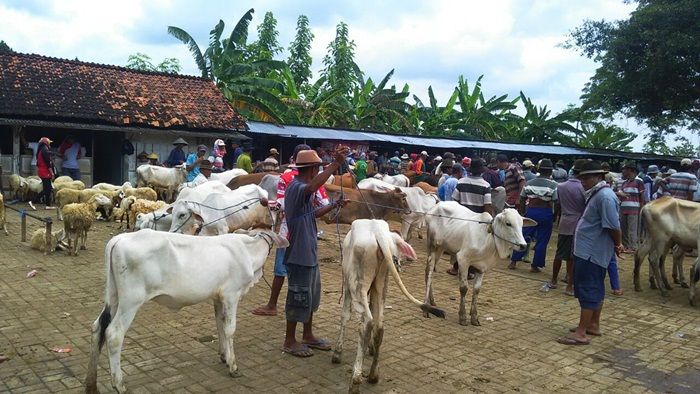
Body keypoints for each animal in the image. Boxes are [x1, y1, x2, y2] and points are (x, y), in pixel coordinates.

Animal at [85, 229, 288, 392]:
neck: (247, 251)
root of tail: (119, 238)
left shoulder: (218, 297)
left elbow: (220, 325)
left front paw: (224, 356)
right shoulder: (231, 295)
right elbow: (230, 329)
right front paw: (233, 366)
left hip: (114, 297)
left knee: (98, 328)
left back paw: (91, 384)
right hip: (131, 300)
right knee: (114, 334)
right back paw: (118, 384)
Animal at [332, 220, 442, 392]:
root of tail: (378, 231)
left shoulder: (347, 285)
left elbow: (345, 315)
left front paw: (338, 352)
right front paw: (370, 348)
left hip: (357, 283)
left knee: (367, 322)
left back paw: (355, 380)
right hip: (382, 282)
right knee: (379, 326)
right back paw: (373, 375)